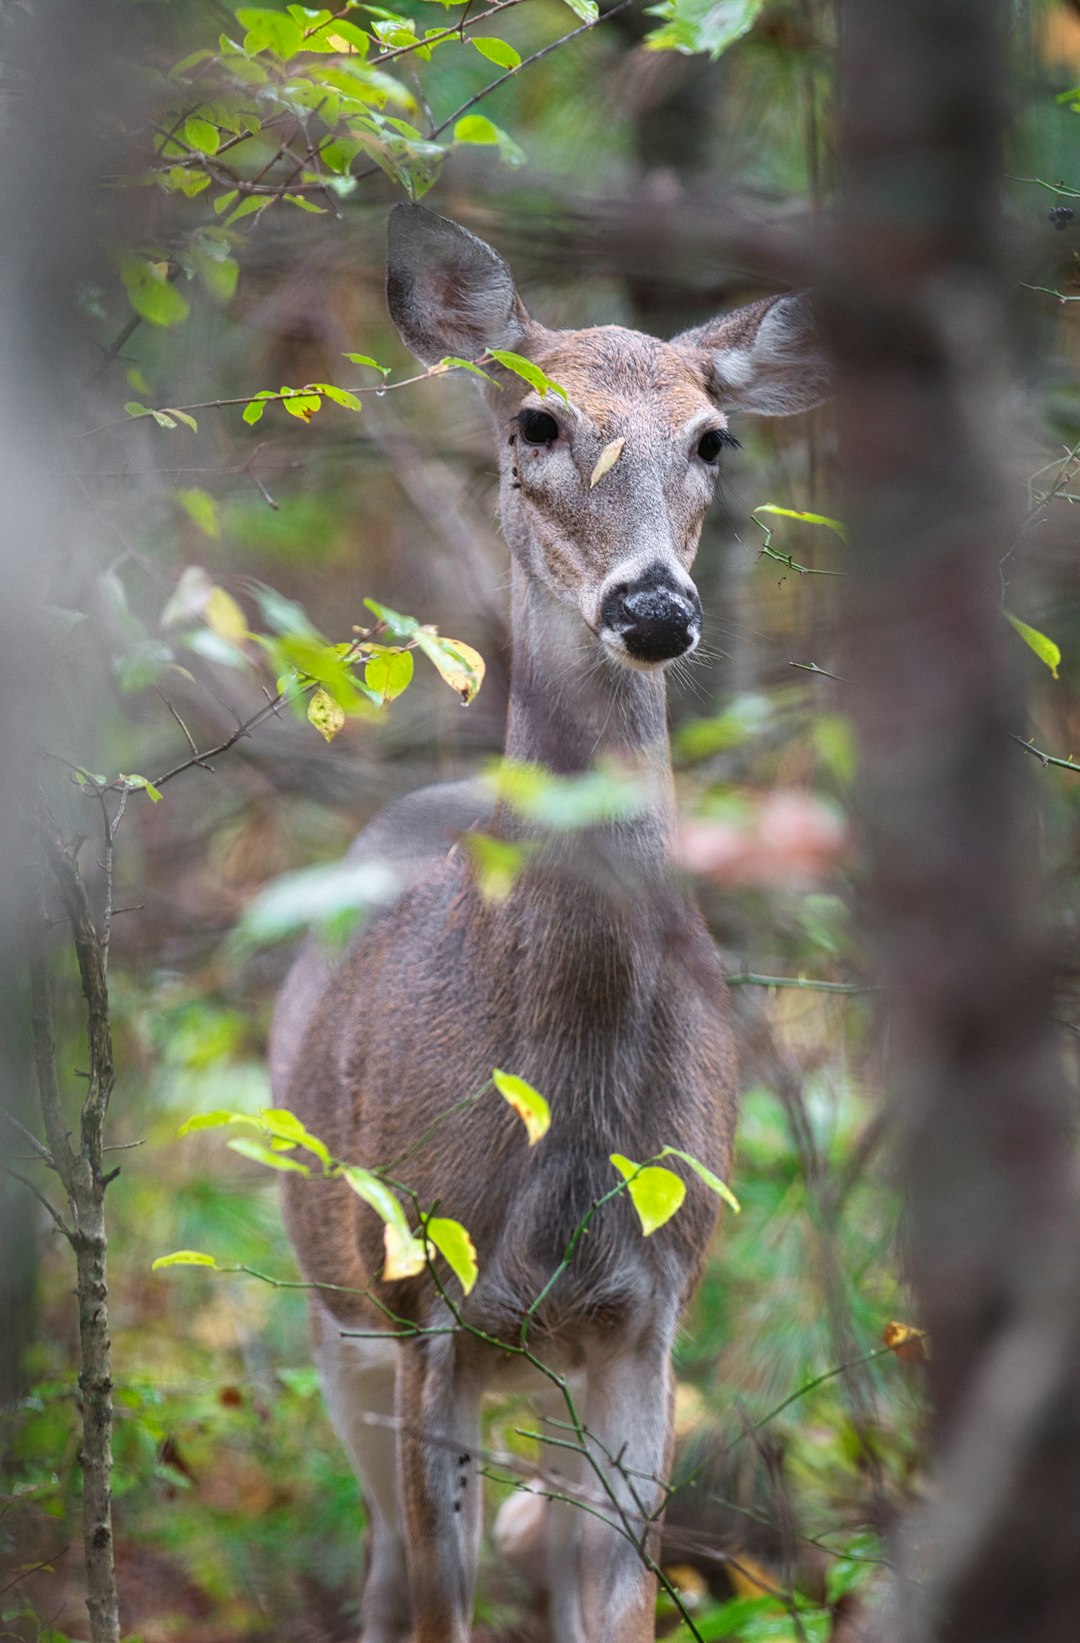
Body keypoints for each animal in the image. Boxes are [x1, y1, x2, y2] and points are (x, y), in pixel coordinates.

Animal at [269, 203, 829, 1643]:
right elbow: (439, 1597)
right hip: (333, 1304)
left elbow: (615, 1599)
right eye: (534, 419)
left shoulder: (649, 1311)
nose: (654, 608)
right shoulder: (427, 1297)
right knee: (384, 1566)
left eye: (714, 436)